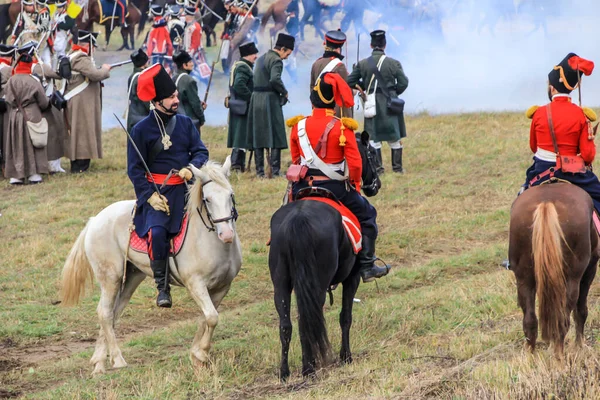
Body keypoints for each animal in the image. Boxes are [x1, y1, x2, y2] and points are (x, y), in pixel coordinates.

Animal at [59, 159, 240, 376]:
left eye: (231, 195)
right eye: (207, 199)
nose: (227, 235)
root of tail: (95, 220)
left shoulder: (223, 287)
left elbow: (206, 318)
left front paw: (197, 356)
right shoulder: (196, 284)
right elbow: (212, 317)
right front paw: (202, 353)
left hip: (132, 277)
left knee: (113, 313)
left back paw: (99, 363)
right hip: (110, 277)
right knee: (104, 313)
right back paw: (117, 359)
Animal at [270, 132, 382, 382]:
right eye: (370, 153)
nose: (375, 185)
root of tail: (299, 219)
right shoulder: (352, 278)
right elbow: (345, 316)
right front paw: (346, 357)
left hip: (281, 283)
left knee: (288, 323)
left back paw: (285, 372)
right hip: (318, 283)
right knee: (309, 319)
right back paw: (309, 368)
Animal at [506, 183, 600, 358]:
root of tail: (546, 202)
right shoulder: (590, 268)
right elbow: (581, 311)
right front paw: (579, 347)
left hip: (524, 278)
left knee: (530, 321)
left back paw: (531, 358)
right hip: (572, 278)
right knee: (563, 320)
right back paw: (559, 357)